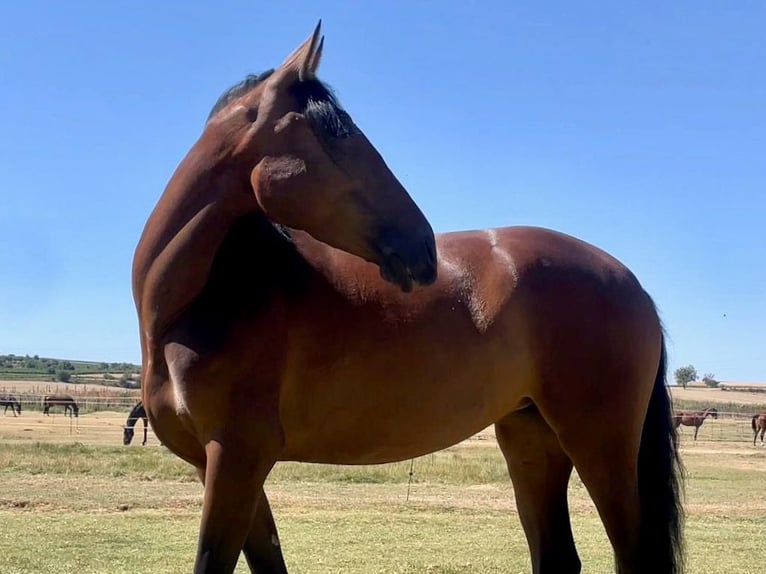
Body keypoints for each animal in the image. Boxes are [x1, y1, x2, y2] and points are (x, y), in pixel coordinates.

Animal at [130, 22, 684, 574]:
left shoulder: (237, 457)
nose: (424, 246)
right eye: (339, 139)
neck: (194, 303)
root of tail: (630, 283)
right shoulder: (220, 465)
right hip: (531, 440)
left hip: (600, 446)